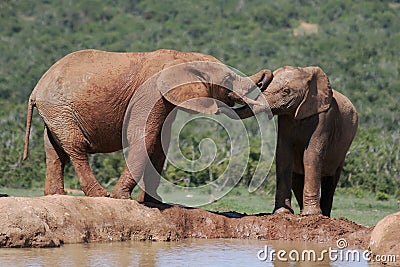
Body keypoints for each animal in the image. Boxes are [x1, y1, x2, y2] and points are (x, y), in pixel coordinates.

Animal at [21, 49, 272, 201]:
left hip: (54, 111)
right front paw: (123, 199)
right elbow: (143, 136)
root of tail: (35, 90)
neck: (183, 56)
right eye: (228, 80)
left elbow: (161, 143)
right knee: (74, 146)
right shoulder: (150, 93)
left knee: (53, 151)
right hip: (59, 108)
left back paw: (55, 197)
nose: (266, 77)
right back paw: (102, 196)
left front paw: (154, 202)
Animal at [220, 66, 358, 217]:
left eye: (286, 91)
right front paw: (282, 213)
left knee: (331, 179)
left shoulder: (325, 117)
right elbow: (283, 154)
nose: (221, 105)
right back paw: (302, 212)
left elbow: (311, 155)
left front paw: (311, 215)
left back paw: (322, 216)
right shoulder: (285, 118)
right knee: (297, 177)